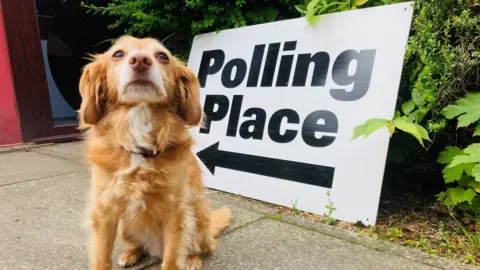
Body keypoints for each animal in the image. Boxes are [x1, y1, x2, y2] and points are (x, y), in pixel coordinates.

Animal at [79, 35, 232, 270]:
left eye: (162, 56)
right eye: (118, 54)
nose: (141, 60)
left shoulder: (176, 213)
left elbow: (172, 259)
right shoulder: (105, 210)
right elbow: (101, 257)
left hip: (197, 219)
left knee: (202, 247)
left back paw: (193, 260)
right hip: (125, 227)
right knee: (139, 245)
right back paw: (131, 254)